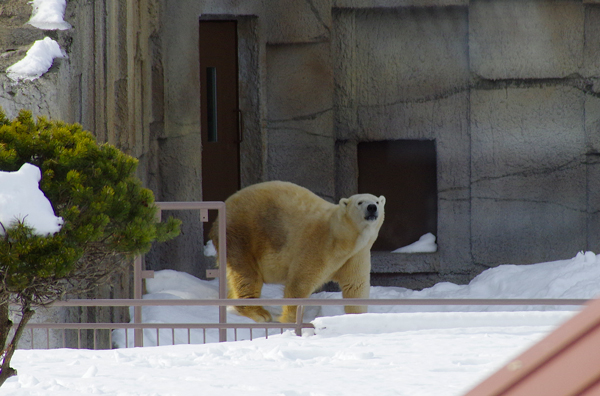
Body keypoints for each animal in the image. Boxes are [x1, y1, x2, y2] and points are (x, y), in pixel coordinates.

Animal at [211, 181, 386, 324]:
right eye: (360, 202)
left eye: (377, 201)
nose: (372, 207)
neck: (342, 238)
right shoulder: (319, 245)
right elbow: (299, 283)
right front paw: (290, 320)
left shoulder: (356, 254)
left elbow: (356, 287)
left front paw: (358, 318)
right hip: (241, 235)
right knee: (247, 274)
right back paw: (259, 313)